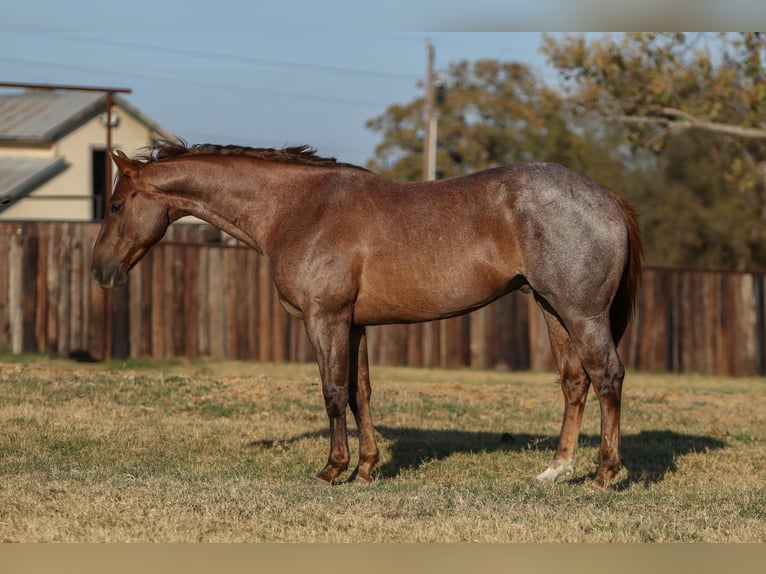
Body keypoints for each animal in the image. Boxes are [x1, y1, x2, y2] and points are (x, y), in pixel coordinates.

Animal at [91, 140, 642, 490]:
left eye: (116, 205)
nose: (100, 270)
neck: (297, 208)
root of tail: (606, 196)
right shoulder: (354, 325)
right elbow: (361, 394)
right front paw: (366, 468)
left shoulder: (326, 319)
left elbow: (334, 393)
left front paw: (332, 470)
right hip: (552, 308)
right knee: (575, 382)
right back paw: (556, 470)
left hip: (582, 314)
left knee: (607, 377)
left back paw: (604, 474)